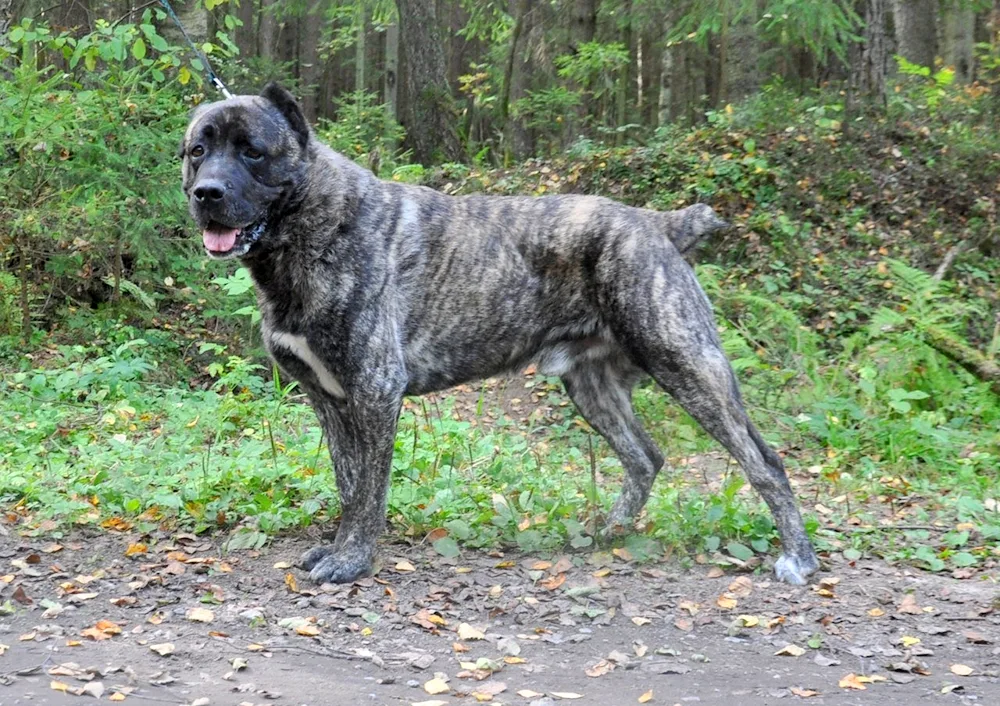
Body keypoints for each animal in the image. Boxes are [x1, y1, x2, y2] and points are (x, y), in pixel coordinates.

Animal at [180, 82, 820, 584]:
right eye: (198, 150)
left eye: (253, 151)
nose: (207, 192)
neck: (311, 224)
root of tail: (658, 224)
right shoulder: (329, 398)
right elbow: (349, 482)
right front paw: (340, 547)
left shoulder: (373, 391)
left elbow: (369, 491)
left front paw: (351, 560)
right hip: (592, 386)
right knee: (645, 457)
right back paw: (609, 533)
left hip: (687, 365)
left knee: (764, 462)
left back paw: (799, 558)